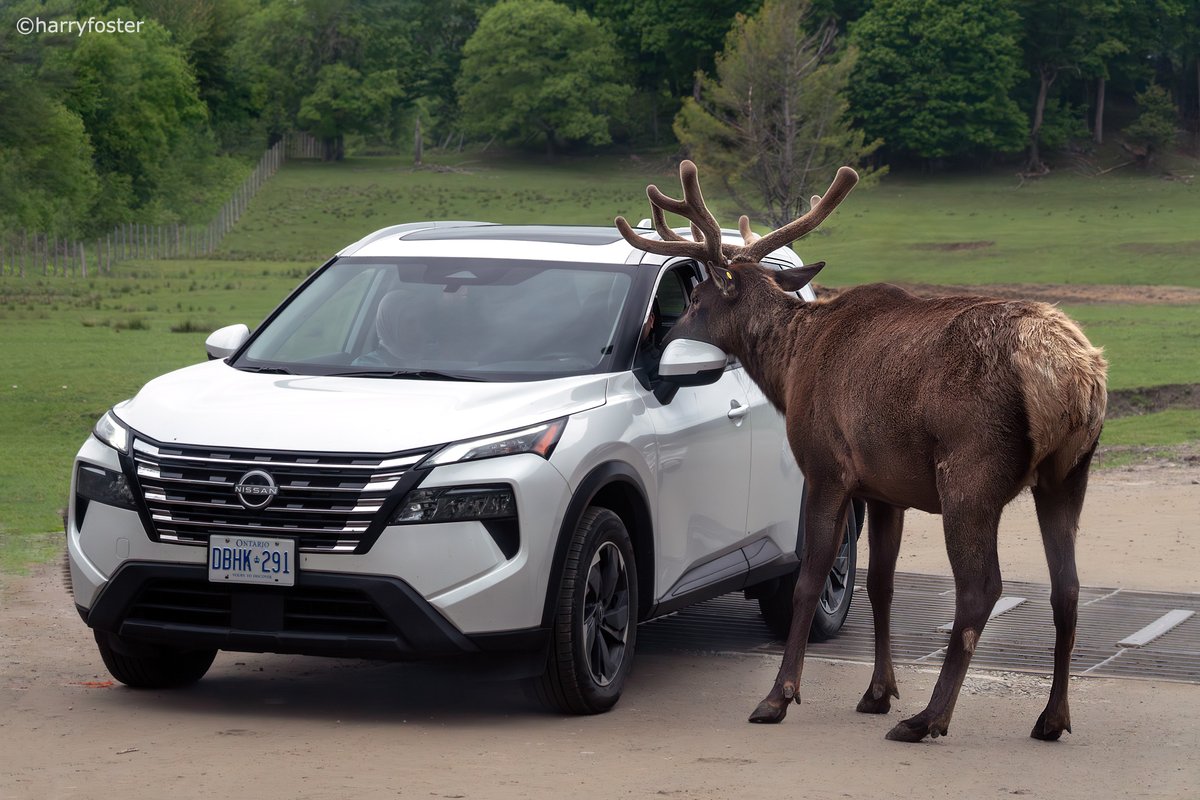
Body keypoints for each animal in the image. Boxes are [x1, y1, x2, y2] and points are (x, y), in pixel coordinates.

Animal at [615, 161, 1107, 743]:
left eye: (694, 302)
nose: (663, 339)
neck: (789, 370)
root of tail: (1071, 374)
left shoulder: (827, 467)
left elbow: (809, 581)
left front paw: (779, 696)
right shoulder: (886, 488)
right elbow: (879, 585)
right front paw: (877, 692)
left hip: (970, 470)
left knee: (980, 588)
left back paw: (929, 718)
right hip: (1069, 474)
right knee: (1067, 587)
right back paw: (1052, 718)